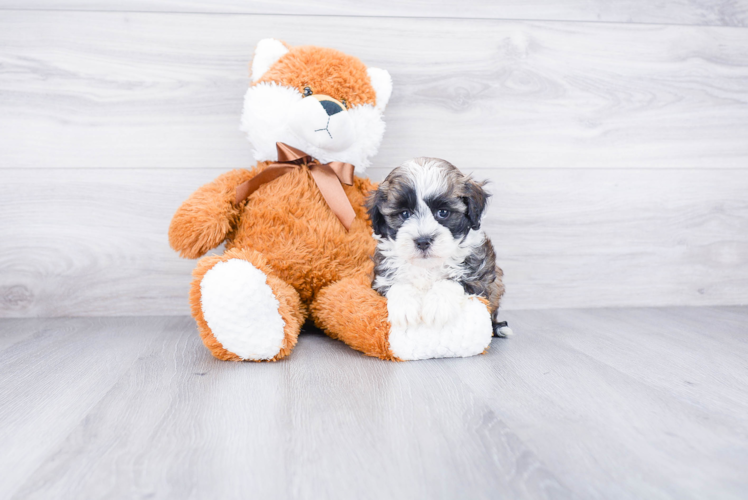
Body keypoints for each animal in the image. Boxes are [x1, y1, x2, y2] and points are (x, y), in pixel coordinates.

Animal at [366, 157, 512, 336]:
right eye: (405, 214)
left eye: (443, 212)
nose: (423, 241)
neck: (427, 266)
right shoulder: (380, 277)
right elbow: (396, 282)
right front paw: (404, 306)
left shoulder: (479, 279)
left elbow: (454, 281)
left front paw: (438, 305)